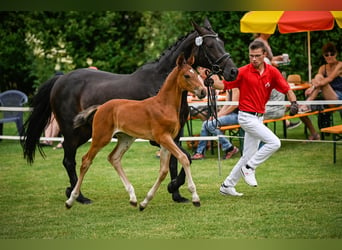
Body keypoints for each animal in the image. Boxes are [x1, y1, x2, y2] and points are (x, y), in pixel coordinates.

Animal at [66, 53, 207, 210]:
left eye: (198, 74)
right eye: (187, 75)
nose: (203, 91)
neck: (164, 105)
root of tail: (101, 107)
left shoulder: (166, 141)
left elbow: (163, 171)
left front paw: (145, 202)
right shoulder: (163, 137)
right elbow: (183, 158)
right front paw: (195, 197)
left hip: (125, 138)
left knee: (114, 158)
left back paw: (133, 198)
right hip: (101, 138)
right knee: (86, 160)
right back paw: (71, 200)